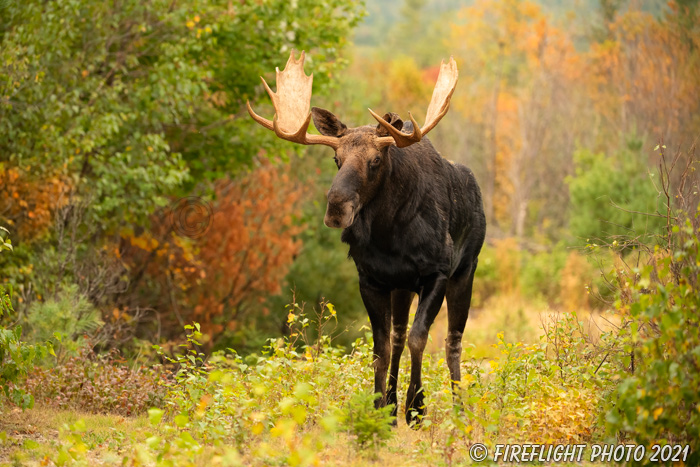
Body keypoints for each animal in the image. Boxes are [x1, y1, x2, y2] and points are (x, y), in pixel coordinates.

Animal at [249, 49, 484, 426]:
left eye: (375, 160)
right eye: (336, 158)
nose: (336, 207)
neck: (391, 236)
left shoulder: (437, 272)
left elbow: (421, 339)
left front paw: (416, 407)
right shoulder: (372, 279)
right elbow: (382, 348)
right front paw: (380, 408)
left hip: (467, 270)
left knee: (453, 341)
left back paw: (460, 410)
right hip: (403, 286)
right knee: (400, 337)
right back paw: (394, 402)